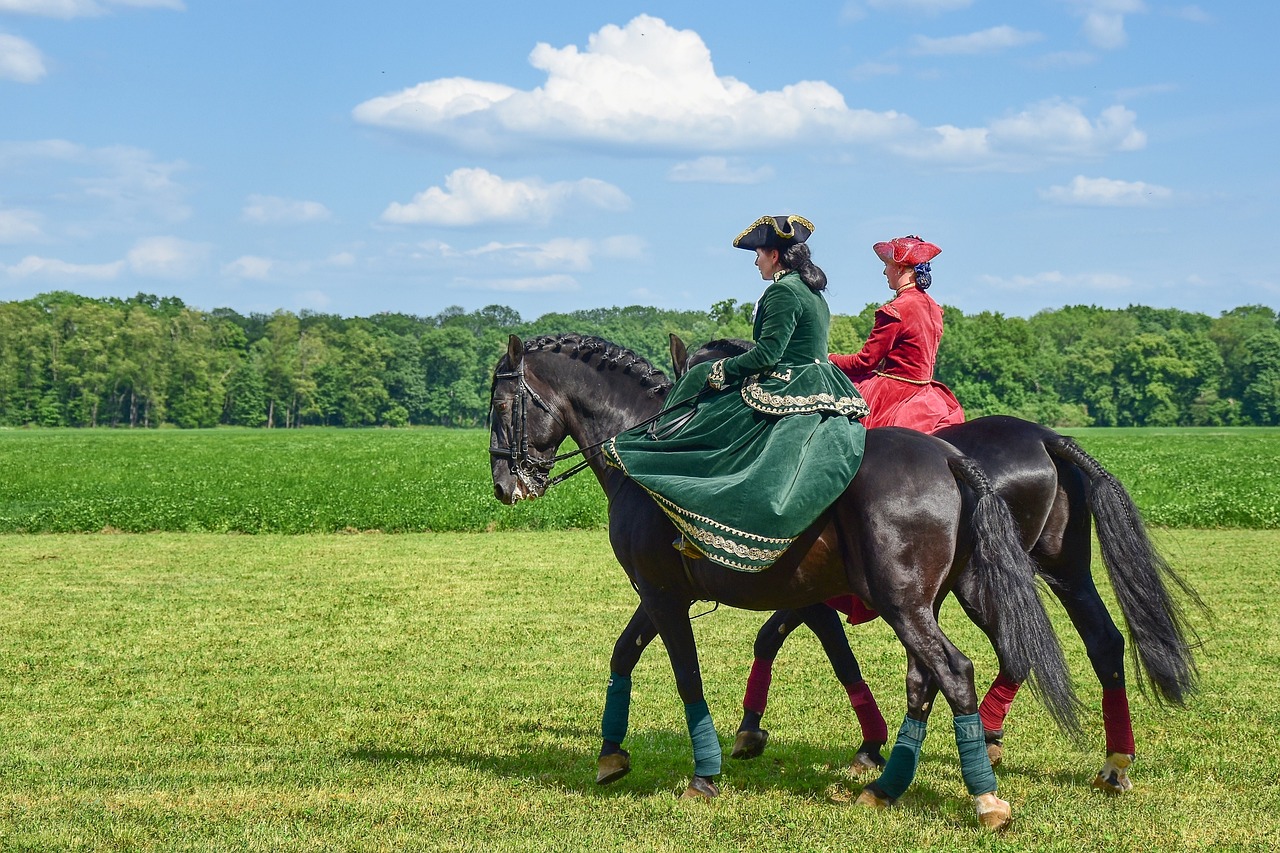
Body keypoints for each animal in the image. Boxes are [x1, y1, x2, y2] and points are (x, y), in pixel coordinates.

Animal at [488, 333, 1080, 829]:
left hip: (906, 604)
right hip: (950, 595)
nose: (502, 485)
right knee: (939, 675)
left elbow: (689, 675)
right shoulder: (672, 593)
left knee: (956, 671)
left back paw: (985, 796)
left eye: (499, 406)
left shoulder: (666, 595)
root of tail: (951, 456)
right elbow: (625, 654)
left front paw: (706, 773)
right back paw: (890, 787)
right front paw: (613, 753)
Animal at [675, 333, 1203, 788]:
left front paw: (776, 733)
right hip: (1064, 571)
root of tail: (1047, 439)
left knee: (1018, 649)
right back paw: (1110, 761)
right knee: (1100, 641)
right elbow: (779, 638)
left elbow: (813, 649)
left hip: (989, 581)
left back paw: (987, 736)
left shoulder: (813, 591)